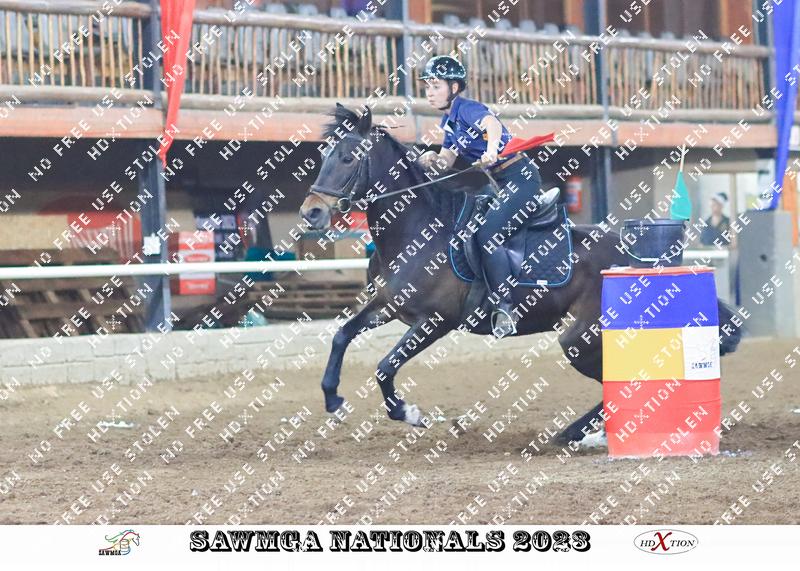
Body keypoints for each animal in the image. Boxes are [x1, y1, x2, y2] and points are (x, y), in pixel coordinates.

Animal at [299, 103, 742, 444]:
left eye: (348, 158)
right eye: (322, 156)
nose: (311, 213)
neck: (416, 229)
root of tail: (638, 256)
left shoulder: (434, 322)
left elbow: (384, 367)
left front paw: (410, 413)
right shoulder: (387, 306)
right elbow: (341, 335)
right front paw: (333, 399)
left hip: (578, 338)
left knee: (623, 383)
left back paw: (580, 433)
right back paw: (581, 434)